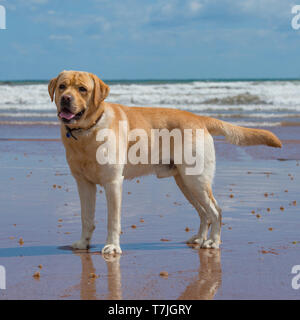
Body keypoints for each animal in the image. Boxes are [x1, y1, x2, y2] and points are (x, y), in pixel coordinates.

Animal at [47, 70, 282, 255]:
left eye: (82, 89)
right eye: (62, 86)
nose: (65, 99)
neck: (87, 131)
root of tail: (200, 119)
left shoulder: (113, 182)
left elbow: (113, 220)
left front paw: (112, 247)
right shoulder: (84, 183)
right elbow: (86, 218)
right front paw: (83, 243)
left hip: (196, 180)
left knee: (216, 211)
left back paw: (213, 242)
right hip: (185, 182)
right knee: (204, 213)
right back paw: (199, 238)